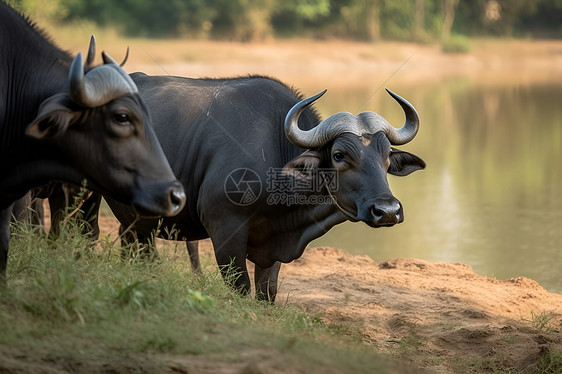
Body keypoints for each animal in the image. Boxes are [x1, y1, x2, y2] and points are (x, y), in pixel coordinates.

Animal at [62, 72, 424, 300]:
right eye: (338, 155)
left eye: (386, 156)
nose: (387, 210)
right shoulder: (225, 230)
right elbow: (240, 287)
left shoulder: (273, 246)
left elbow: (267, 293)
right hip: (81, 194)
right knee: (83, 231)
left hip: (137, 222)